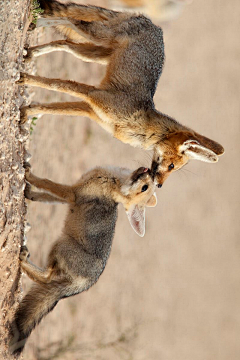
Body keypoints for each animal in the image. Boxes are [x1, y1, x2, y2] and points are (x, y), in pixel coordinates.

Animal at [10, 165, 158, 352]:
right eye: (148, 185)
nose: (151, 170)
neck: (114, 180)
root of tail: (90, 282)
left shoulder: (72, 193)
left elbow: (46, 182)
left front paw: (29, 176)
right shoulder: (71, 194)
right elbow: (45, 196)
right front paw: (30, 193)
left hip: (61, 244)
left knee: (47, 277)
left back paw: (23, 260)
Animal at [17, 0, 224, 186]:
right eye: (172, 166)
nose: (159, 185)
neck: (139, 124)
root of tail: (154, 23)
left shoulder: (89, 109)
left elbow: (51, 108)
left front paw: (26, 113)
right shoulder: (92, 94)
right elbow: (57, 84)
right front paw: (24, 79)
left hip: (92, 53)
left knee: (64, 42)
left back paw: (31, 51)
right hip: (98, 37)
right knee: (71, 21)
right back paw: (38, 24)